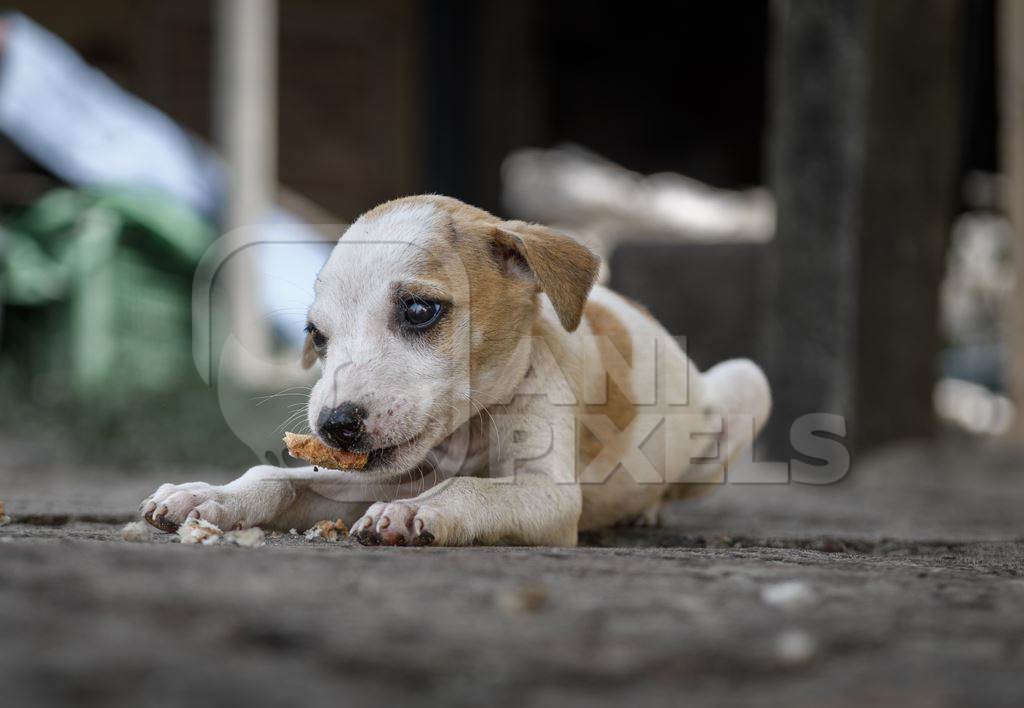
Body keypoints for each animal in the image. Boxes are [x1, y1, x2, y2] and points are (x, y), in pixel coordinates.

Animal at [142, 195, 770, 549]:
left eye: (420, 310)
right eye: (317, 335)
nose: (334, 426)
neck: (471, 429)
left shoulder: (548, 493)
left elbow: (472, 488)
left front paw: (421, 511)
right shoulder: (388, 470)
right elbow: (278, 477)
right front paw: (205, 497)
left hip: (747, 384)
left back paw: (649, 508)